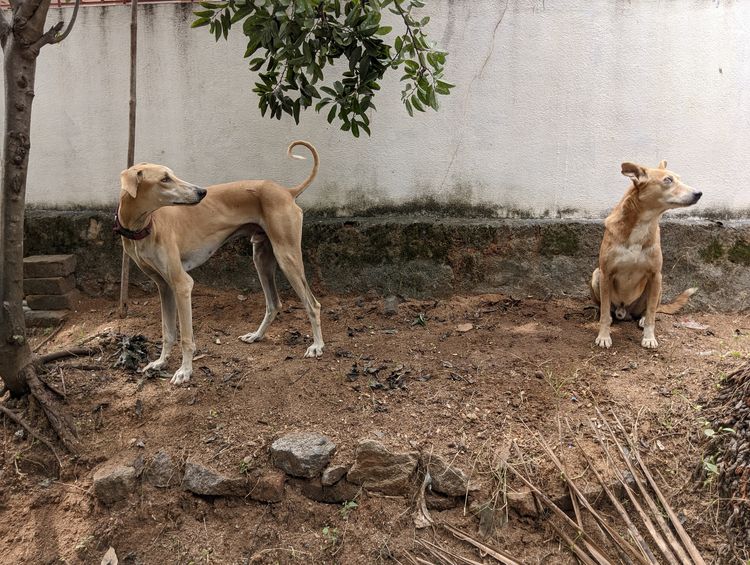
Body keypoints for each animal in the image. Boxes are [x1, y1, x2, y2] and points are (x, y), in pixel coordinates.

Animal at [117, 140, 324, 384]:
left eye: (171, 175)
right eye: (165, 179)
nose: (202, 192)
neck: (145, 226)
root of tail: (286, 191)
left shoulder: (182, 285)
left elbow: (186, 337)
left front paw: (185, 371)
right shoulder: (164, 286)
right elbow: (168, 332)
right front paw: (160, 363)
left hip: (287, 257)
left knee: (313, 304)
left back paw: (317, 346)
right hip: (262, 258)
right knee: (274, 304)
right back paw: (256, 336)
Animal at [592, 160, 704, 348]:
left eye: (679, 178)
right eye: (668, 180)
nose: (699, 193)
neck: (644, 223)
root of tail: (624, 310)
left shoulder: (655, 274)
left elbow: (652, 313)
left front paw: (649, 338)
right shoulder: (606, 273)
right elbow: (605, 313)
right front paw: (604, 336)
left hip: (658, 286)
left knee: (650, 310)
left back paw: (642, 319)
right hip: (596, 276)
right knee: (606, 309)